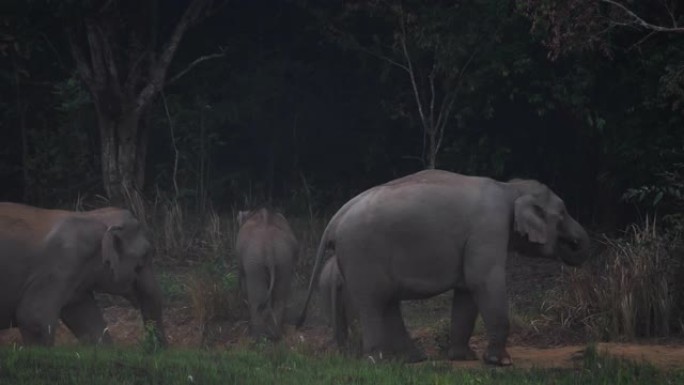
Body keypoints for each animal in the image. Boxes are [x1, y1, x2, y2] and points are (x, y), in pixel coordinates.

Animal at [0, 202, 167, 346]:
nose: (148, 346)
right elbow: (34, 318)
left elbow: (88, 322)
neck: (92, 215)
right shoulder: (60, 266)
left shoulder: (76, 279)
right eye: (144, 257)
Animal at [236, 207, 298, 340]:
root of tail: (269, 249)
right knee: (280, 298)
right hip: (284, 259)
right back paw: (275, 335)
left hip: (254, 264)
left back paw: (255, 337)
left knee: (257, 301)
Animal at [296, 170, 592, 364]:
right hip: (362, 252)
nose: (579, 244)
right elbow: (482, 281)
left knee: (387, 302)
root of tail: (335, 218)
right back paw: (376, 360)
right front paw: (501, 362)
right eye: (563, 213)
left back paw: (413, 359)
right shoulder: (488, 228)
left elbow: (467, 290)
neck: (510, 188)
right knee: (373, 303)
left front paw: (464, 357)